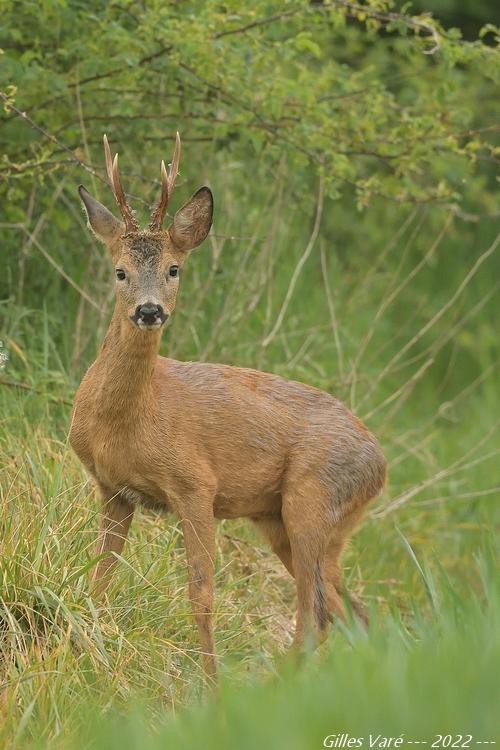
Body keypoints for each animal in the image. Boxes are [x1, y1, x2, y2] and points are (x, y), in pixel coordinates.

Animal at [69, 134, 386, 680]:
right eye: (119, 271)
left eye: (174, 268)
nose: (149, 310)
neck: (128, 422)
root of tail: (382, 462)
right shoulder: (113, 490)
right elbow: (100, 579)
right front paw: (87, 654)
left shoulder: (196, 484)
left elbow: (202, 595)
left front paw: (211, 685)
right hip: (286, 519)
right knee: (350, 610)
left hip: (314, 499)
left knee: (316, 613)